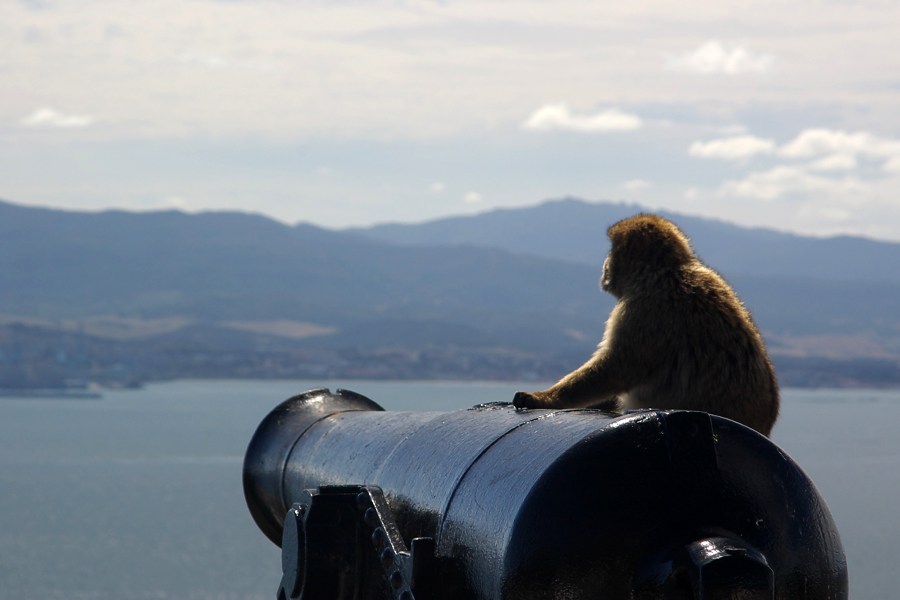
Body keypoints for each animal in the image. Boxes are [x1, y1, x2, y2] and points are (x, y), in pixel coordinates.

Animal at [512, 213, 780, 438]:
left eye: (612, 251)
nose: (604, 264)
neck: (664, 270)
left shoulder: (644, 308)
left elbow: (619, 365)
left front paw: (543, 399)